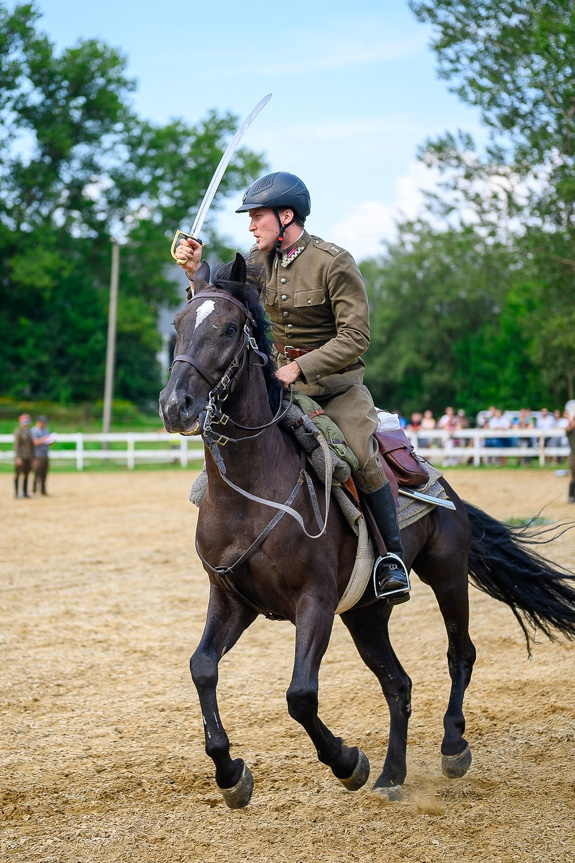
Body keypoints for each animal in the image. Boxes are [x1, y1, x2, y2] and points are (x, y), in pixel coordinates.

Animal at [160, 255, 575, 808]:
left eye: (228, 328)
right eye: (179, 325)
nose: (175, 405)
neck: (249, 491)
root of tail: (439, 478)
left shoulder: (314, 603)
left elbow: (300, 695)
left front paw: (346, 761)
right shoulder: (231, 601)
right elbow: (202, 668)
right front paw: (230, 774)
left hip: (446, 575)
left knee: (459, 654)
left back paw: (452, 745)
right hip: (366, 614)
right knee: (398, 685)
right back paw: (392, 774)